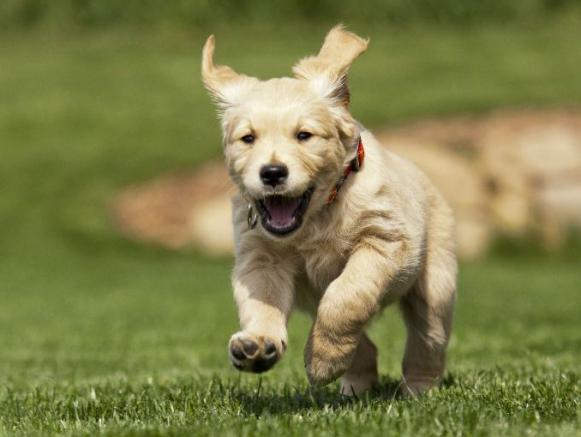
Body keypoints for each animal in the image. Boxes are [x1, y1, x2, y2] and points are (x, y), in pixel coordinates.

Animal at [202, 25, 456, 396]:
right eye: (248, 138)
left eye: (304, 135)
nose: (272, 173)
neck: (317, 216)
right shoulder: (261, 258)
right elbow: (262, 302)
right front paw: (258, 344)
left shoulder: (384, 241)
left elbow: (345, 296)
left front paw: (322, 361)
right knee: (366, 346)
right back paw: (355, 386)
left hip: (436, 283)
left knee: (428, 338)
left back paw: (418, 390)